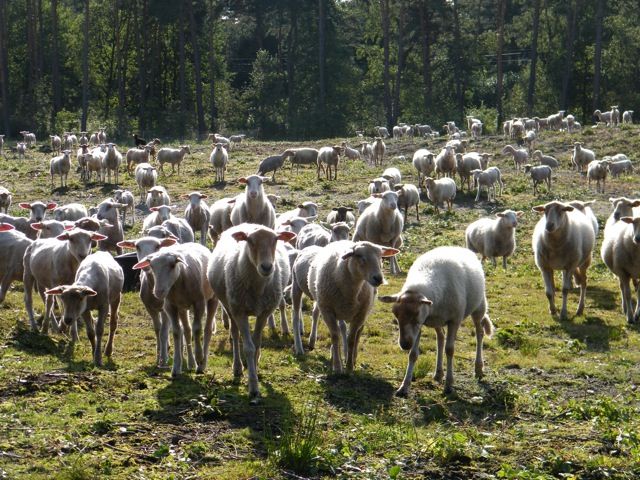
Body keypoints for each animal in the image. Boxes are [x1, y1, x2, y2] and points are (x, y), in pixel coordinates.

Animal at [133, 242, 218, 376]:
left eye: (172, 265)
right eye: (152, 266)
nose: (159, 292)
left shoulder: (199, 303)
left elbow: (197, 329)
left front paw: (199, 357)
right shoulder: (170, 306)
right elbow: (177, 332)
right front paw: (176, 367)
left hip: (212, 299)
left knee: (207, 329)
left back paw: (201, 365)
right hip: (182, 308)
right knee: (187, 330)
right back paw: (191, 363)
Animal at [208, 225, 296, 402]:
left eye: (276, 240)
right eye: (250, 241)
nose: (267, 267)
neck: (257, 286)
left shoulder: (264, 312)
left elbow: (256, 345)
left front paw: (254, 369)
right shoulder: (240, 311)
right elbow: (248, 347)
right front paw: (253, 388)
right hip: (230, 305)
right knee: (235, 335)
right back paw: (237, 367)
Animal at [308, 242, 398, 374]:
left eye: (380, 257)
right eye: (360, 256)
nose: (378, 278)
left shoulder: (360, 314)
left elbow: (351, 339)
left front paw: (349, 367)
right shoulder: (327, 311)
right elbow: (335, 336)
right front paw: (337, 366)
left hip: (363, 311)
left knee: (358, 332)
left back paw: (352, 357)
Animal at [380, 246, 496, 396]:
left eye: (416, 313)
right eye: (395, 314)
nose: (404, 344)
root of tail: (458, 247)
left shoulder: (453, 320)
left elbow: (450, 350)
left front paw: (449, 385)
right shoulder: (420, 326)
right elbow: (413, 354)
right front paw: (404, 386)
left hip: (479, 307)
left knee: (479, 333)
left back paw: (478, 368)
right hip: (437, 321)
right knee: (440, 338)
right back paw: (438, 373)